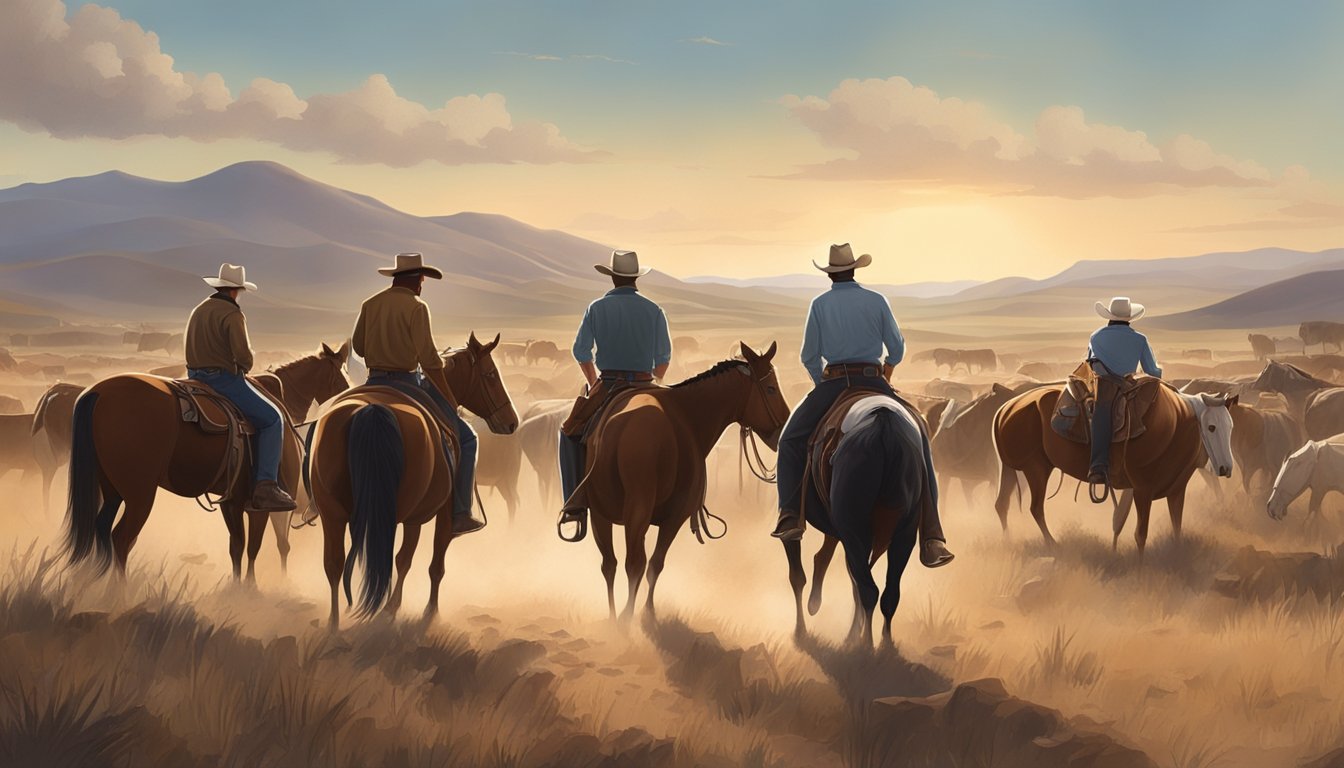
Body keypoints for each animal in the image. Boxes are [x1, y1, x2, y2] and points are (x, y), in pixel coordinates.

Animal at [63, 344, 352, 581]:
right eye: (342, 375)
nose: (346, 400)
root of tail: (97, 393)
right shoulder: (262, 504)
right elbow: (257, 546)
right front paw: (253, 590)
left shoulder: (232, 502)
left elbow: (237, 547)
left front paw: (238, 590)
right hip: (139, 495)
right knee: (122, 539)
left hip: (112, 489)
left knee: (102, 532)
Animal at [307, 333, 516, 626]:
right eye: (491, 374)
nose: (511, 422)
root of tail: (371, 411)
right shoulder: (443, 512)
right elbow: (434, 563)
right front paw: (429, 611)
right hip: (406, 514)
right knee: (398, 559)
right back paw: (384, 610)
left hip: (332, 514)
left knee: (335, 564)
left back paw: (335, 623)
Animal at [564, 342, 790, 624]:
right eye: (770, 388)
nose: (784, 429)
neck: (687, 415)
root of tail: (617, 428)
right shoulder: (676, 515)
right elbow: (655, 564)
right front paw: (648, 613)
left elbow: (649, 564)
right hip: (636, 509)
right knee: (633, 563)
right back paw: (626, 618)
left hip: (600, 513)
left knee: (610, 564)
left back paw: (615, 616)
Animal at [989, 381, 1236, 554]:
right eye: (1211, 427)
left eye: (1230, 426)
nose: (1226, 468)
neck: (1174, 427)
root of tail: (1006, 407)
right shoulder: (1143, 491)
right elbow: (1139, 533)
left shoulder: (1173, 490)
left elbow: (1165, 525)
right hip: (1036, 469)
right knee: (1035, 508)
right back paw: (1053, 545)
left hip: (1010, 470)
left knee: (1001, 504)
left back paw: (1008, 541)